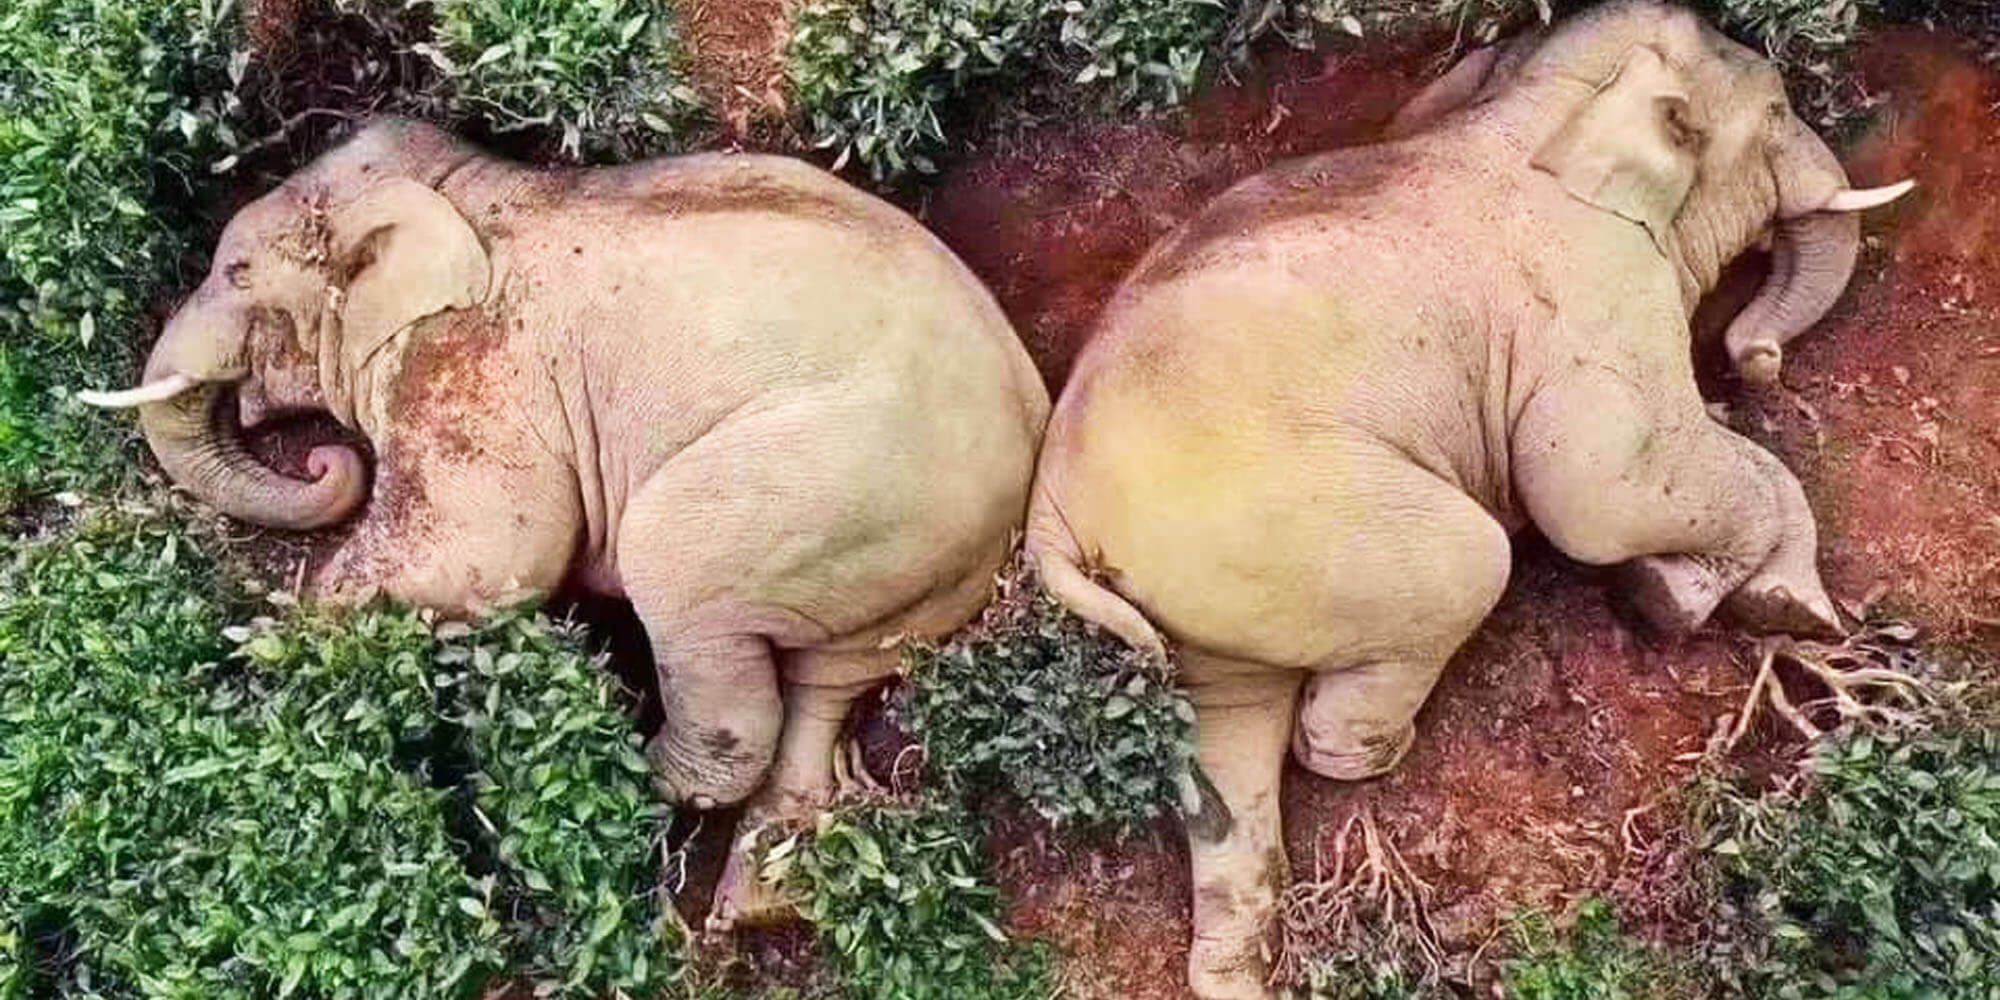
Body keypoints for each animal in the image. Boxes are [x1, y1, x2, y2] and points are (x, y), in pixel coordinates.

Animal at [81, 117, 1051, 929]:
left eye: (236, 272)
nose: (327, 462)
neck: (464, 189)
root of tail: (1030, 434)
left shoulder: (475, 368)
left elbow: (487, 556)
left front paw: (267, 645)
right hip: (910, 562)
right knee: (830, 680)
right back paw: (756, 903)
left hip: (833, 485)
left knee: (682, 578)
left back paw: (625, 777)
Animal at [1021, 3, 1911, 997]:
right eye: (1777, 109)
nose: (1754, 361)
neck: (1530, 110)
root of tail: (1051, 521)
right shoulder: (1594, 294)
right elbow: (1596, 492)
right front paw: (1725, 601)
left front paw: (1730, 593)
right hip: (1289, 521)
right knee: (1467, 565)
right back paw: (1377, 756)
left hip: (1201, 588)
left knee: (1229, 731)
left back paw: (1240, 966)